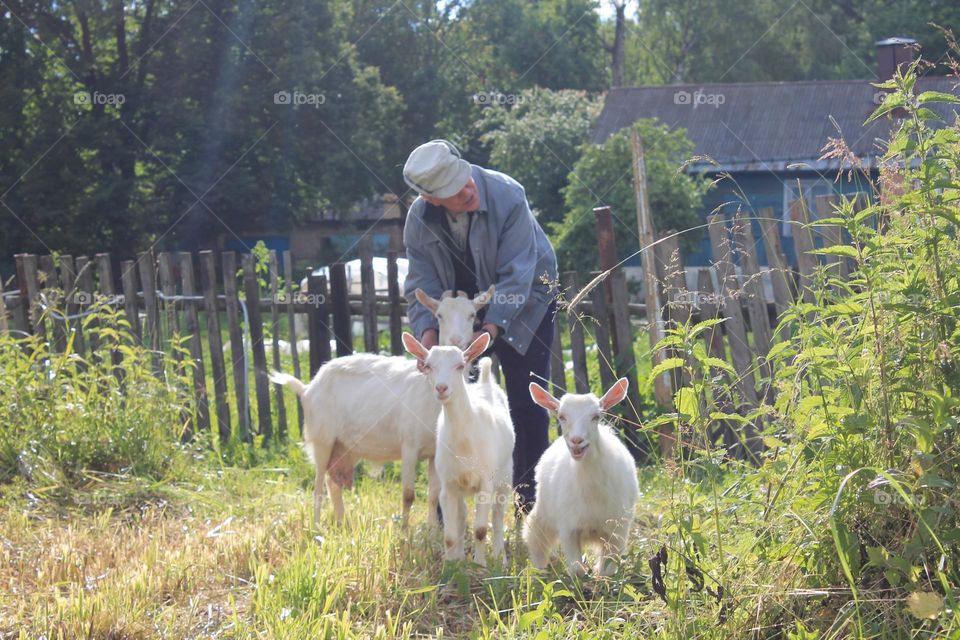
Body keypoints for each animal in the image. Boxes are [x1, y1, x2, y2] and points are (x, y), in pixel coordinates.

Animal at [402, 332, 512, 568]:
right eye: (428, 365)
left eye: (460, 366)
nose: (441, 388)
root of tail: (486, 383)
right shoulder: (449, 484)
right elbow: (450, 534)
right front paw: (452, 564)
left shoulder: (485, 483)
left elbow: (481, 530)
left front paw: (480, 565)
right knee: (462, 516)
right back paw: (461, 554)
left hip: (505, 476)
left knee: (498, 518)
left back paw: (501, 557)